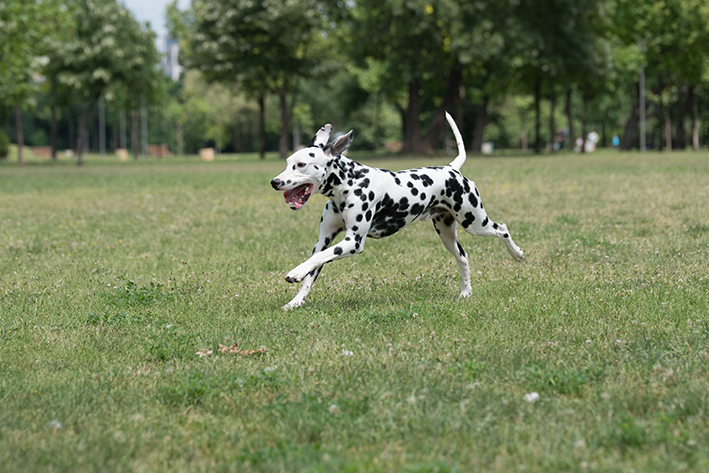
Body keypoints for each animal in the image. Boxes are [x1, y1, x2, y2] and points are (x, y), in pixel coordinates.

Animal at [272, 111, 524, 310]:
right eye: (287, 162)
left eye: (301, 165)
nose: (275, 182)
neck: (349, 183)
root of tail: (452, 169)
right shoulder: (324, 240)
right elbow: (312, 268)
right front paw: (295, 301)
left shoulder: (353, 242)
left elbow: (315, 261)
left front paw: (294, 273)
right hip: (447, 235)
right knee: (463, 258)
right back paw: (466, 292)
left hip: (475, 223)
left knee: (502, 228)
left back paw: (517, 254)